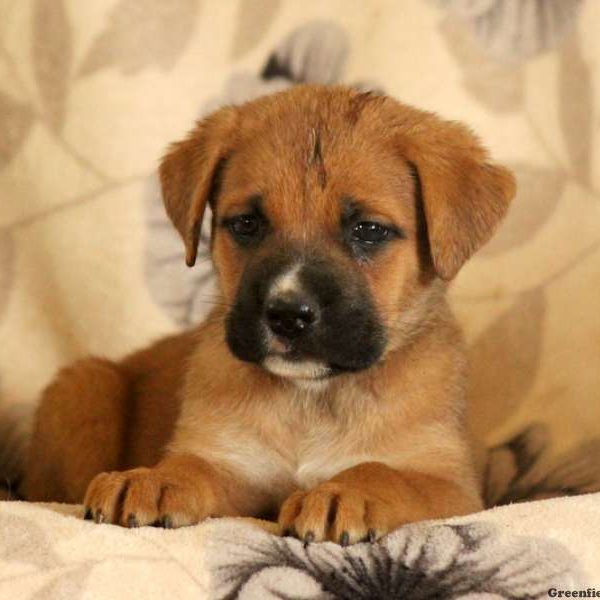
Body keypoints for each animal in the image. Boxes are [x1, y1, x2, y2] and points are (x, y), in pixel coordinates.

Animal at [19, 85, 516, 544]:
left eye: (369, 230)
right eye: (246, 223)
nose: (287, 315)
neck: (312, 398)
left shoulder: (451, 485)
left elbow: (384, 473)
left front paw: (344, 494)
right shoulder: (233, 464)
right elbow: (189, 466)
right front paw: (151, 479)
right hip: (84, 385)